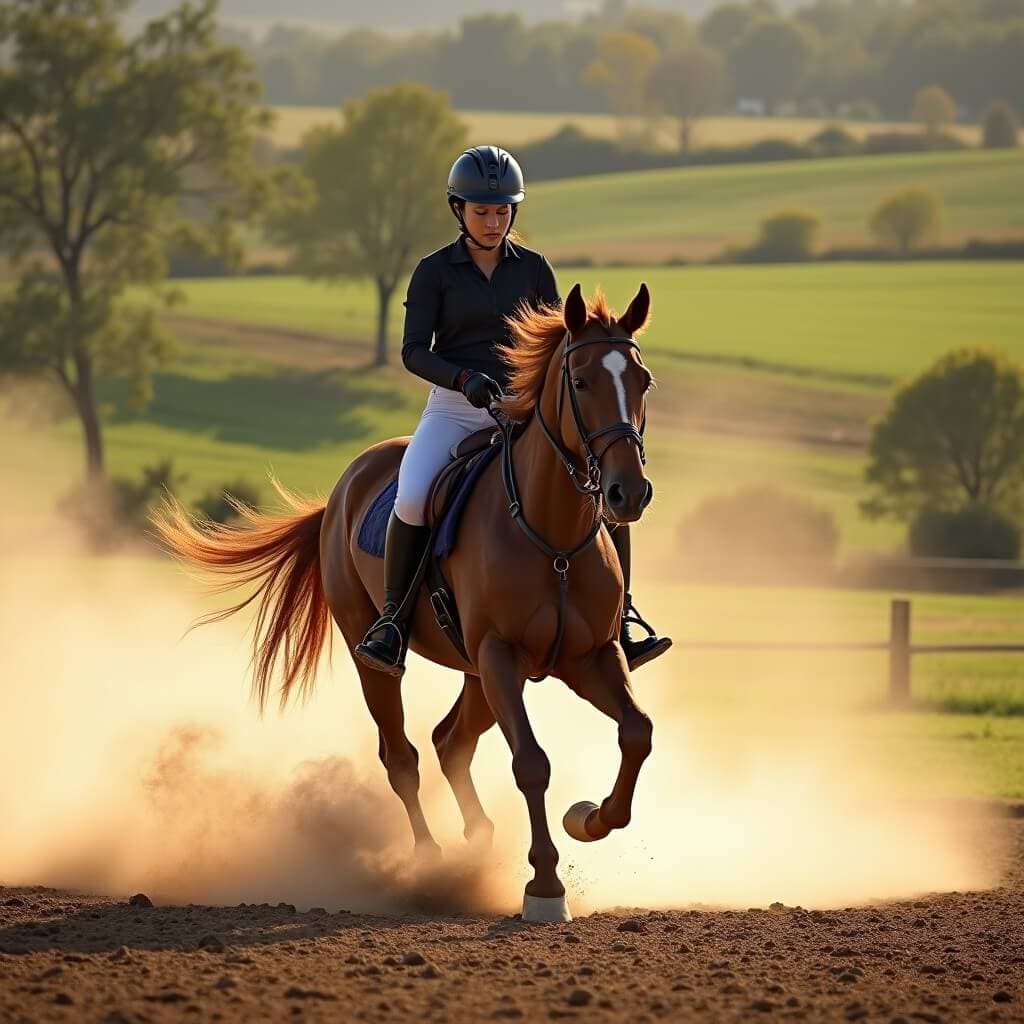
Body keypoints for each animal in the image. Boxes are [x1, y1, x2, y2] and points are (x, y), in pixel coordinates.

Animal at [156, 280, 659, 921]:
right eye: (581, 381)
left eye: (642, 380)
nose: (628, 493)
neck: (552, 536)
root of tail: (345, 486)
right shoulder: (500, 656)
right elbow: (531, 763)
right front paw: (545, 885)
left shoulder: (590, 657)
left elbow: (637, 732)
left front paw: (588, 819)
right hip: (380, 656)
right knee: (403, 756)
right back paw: (429, 860)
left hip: (478, 672)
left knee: (451, 742)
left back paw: (478, 840)